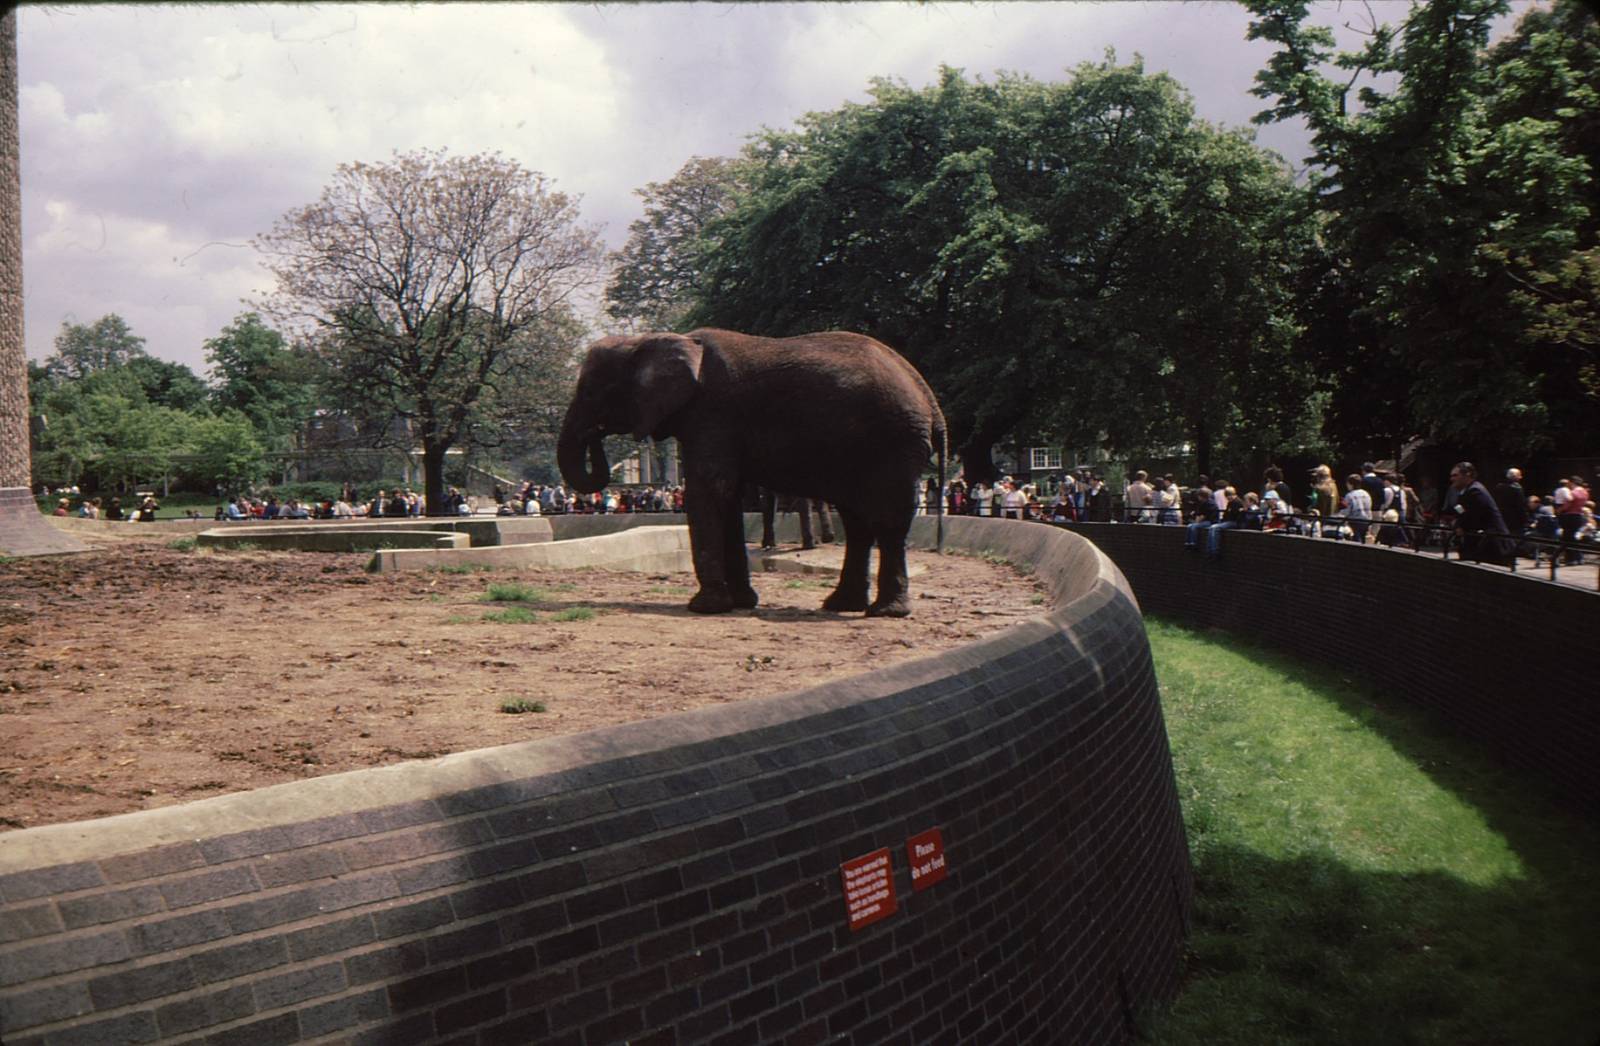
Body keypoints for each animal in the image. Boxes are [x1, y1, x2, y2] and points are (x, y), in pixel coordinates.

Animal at [558, 328, 945, 616]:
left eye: (590, 391)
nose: (594, 434)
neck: (650, 339)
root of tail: (929, 397)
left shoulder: (713, 413)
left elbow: (708, 491)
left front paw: (704, 608)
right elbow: (727, 497)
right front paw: (741, 603)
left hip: (892, 443)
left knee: (887, 521)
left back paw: (886, 611)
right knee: (858, 523)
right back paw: (841, 605)